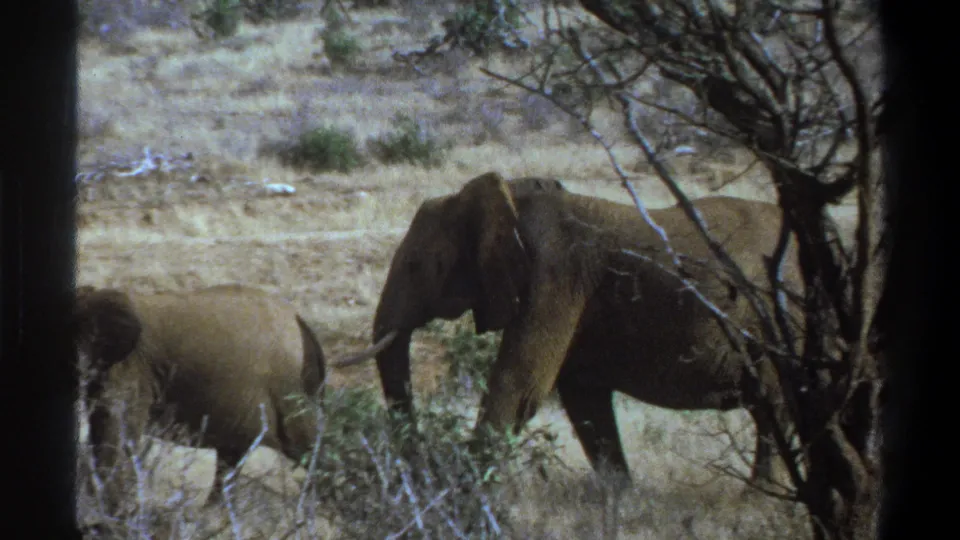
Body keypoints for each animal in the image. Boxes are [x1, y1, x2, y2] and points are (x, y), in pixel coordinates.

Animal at [73, 284, 345, 510]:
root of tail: (305, 327)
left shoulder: (130, 369)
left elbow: (115, 429)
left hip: (292, 389)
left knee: (309, 448)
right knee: (231, 462)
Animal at [350, 171, 804, 490]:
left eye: (415, 267)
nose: (420, 467)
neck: (507, 198)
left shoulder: (556, 275)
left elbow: (519, 384)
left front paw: (465, 498)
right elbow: (585, 399)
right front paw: (621, 499)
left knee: (773, 409)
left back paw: (756, 499)